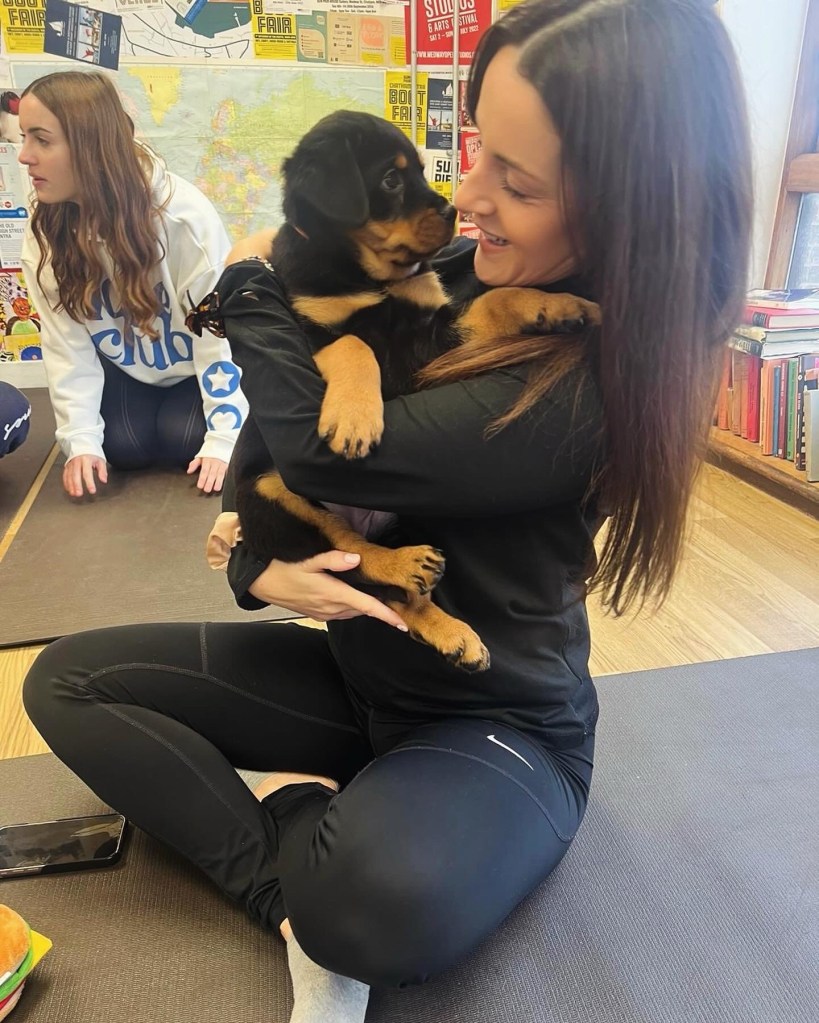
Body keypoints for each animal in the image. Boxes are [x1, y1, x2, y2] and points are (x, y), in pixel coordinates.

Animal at [196, 111, 599, 671]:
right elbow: (354, 346)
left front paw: (560, 305)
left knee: (389, 592)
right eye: (390, 179)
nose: (455, 211)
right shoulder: (313, 331)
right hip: (272, 495)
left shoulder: (437, 336)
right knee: (350, 553)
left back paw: (453, 633)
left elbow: (496, 299)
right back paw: (405, 565)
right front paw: (354, 421)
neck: (368, 276)